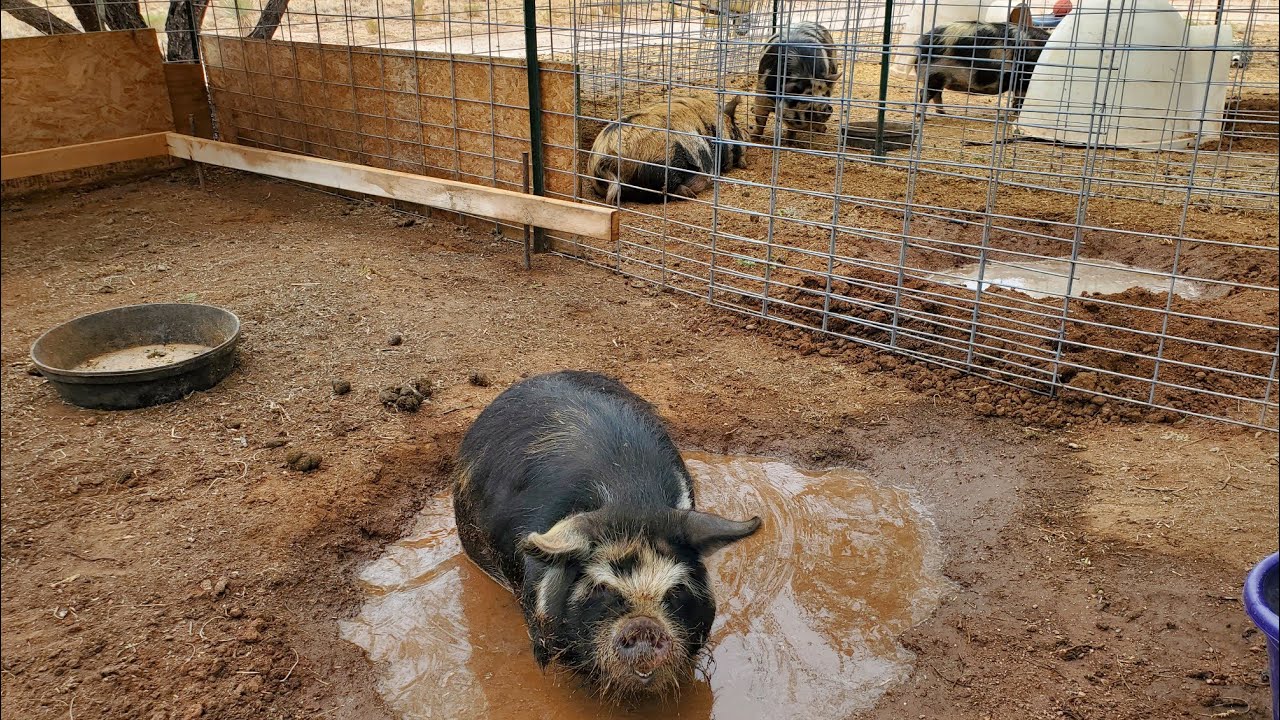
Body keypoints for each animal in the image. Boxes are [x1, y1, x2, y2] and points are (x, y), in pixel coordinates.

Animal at [588, 93, 747, 205]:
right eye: (736, 129)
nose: (746, 138)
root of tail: (604, 159)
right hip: (661, 161)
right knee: (663, 190)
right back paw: (689, 194)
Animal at [912, 6, 1051, 116]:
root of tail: (921, 43)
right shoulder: (1024, 78)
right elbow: (1021, 98)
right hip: (933, 73)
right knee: (925, 94)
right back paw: (922, 117)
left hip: (938, 77)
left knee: (937, 95)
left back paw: (943, 113)